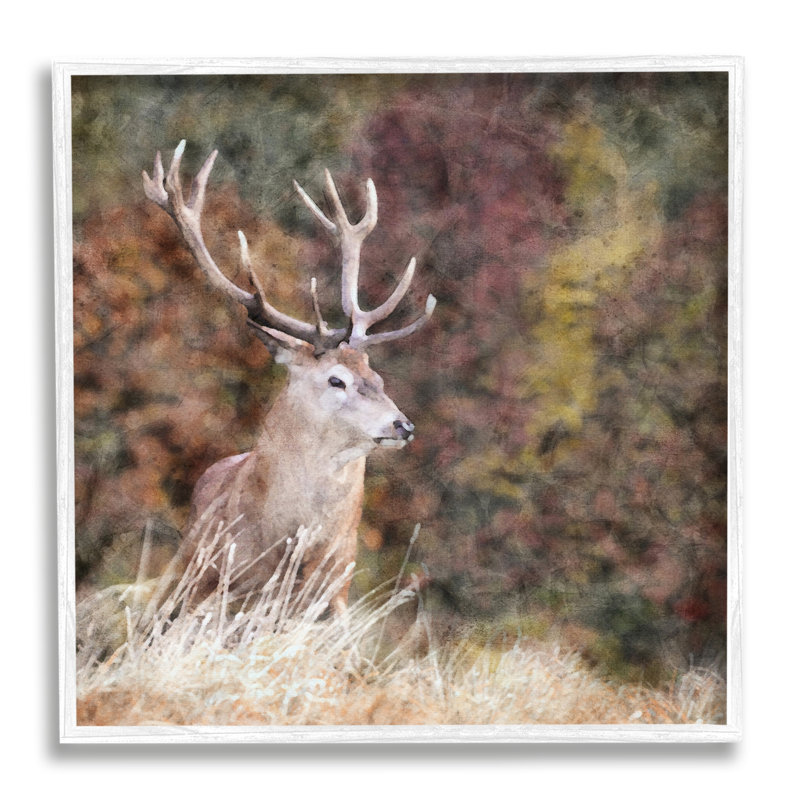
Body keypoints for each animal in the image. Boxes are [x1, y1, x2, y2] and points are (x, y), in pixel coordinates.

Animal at [142, 141, 436, 618]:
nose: (402, 425)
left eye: (376, 376)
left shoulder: (335, 596)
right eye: (336, 380)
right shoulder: (219, 589)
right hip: (181, 578)